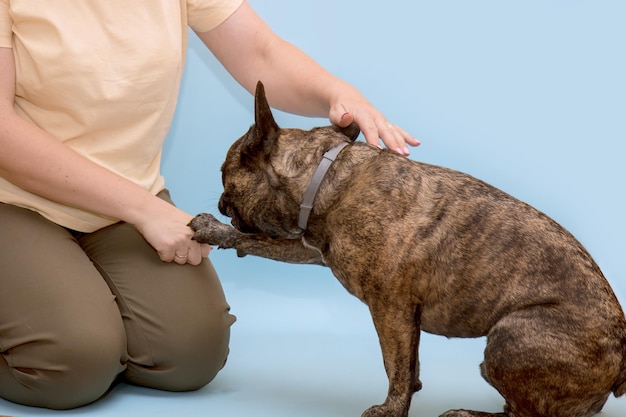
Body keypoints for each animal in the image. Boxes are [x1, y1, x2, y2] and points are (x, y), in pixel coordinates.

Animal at [190, 82, 624, 416]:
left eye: (224, 173)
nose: (220, 202)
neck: (324, 174)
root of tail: (621, 357)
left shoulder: (391, 309)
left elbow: (394, 364)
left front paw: (392, 408)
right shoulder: (312, 246)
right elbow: (261, 242)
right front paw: (216, 231)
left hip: (510, 336)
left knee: (524, 413)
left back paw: (467, 413)